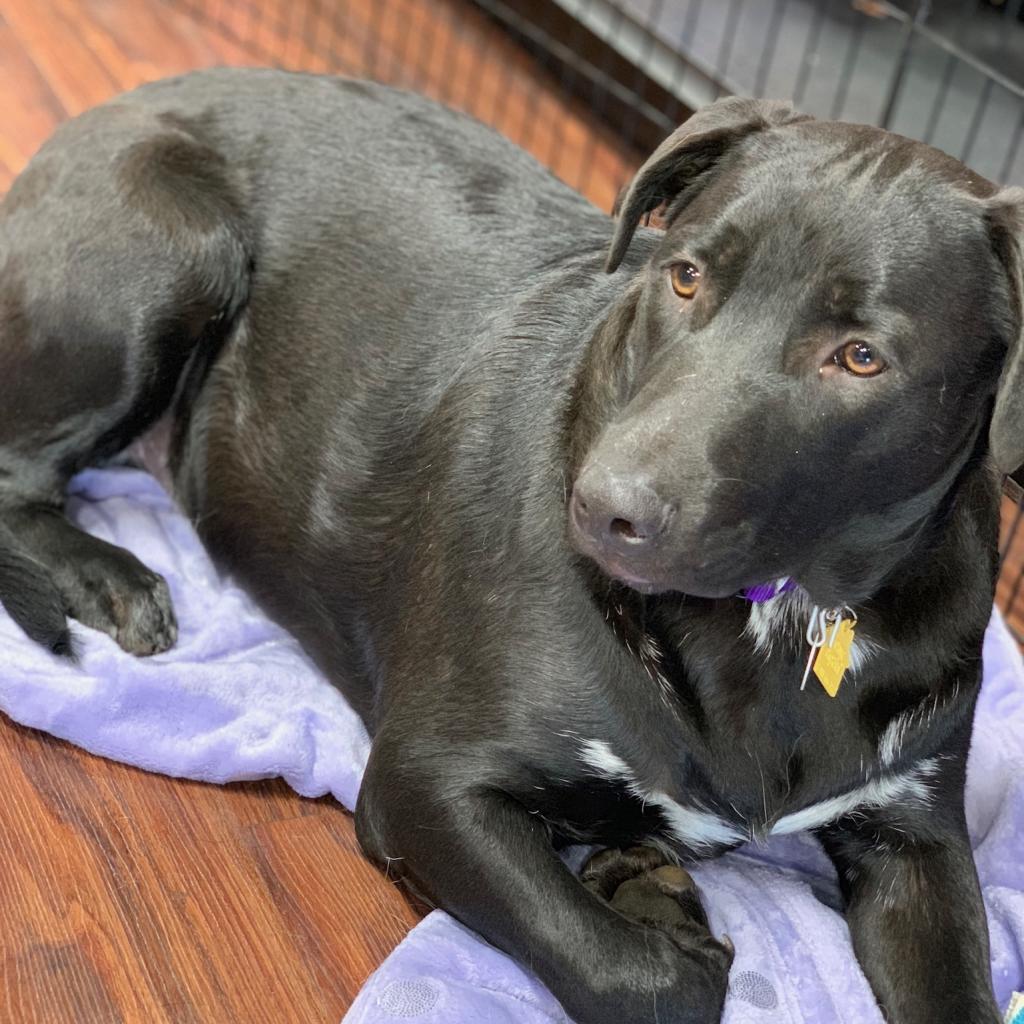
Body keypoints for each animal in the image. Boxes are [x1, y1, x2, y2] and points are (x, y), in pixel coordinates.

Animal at [0, 68, 1015, 1019]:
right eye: (684, 277)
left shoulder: (919, 838)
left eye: (861, 357)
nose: (600, 506)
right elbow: (639, 977)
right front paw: (659, 910)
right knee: (17, 472)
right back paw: (109, 576)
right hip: (172, 257)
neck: (785, 615)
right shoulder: (426, 785)